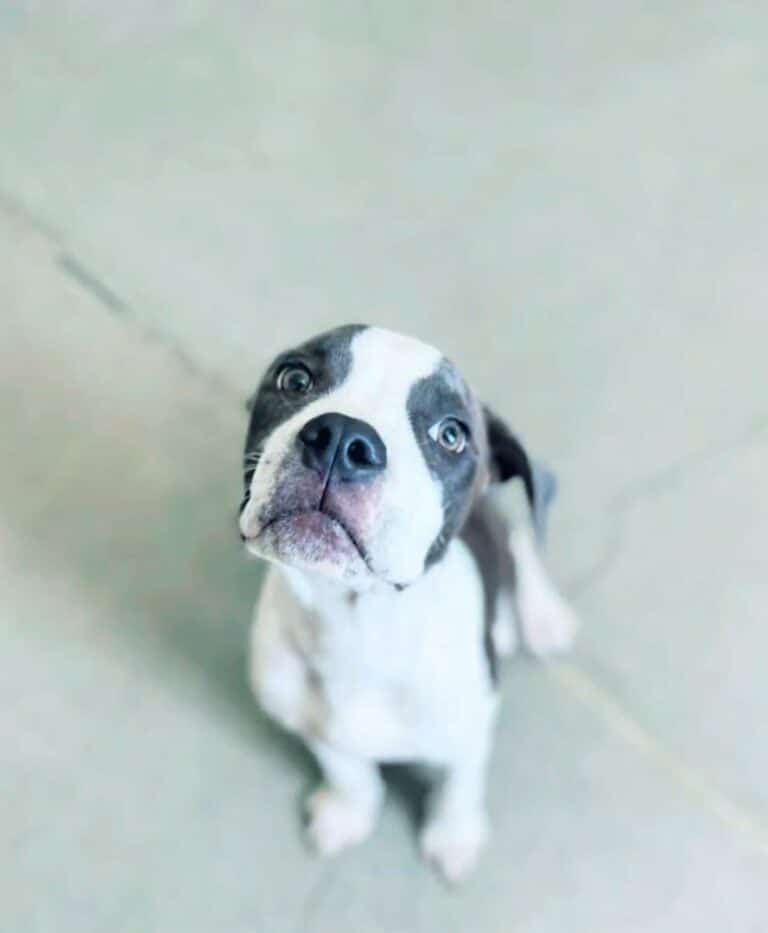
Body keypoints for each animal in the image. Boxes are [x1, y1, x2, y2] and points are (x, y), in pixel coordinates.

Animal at [240, 326, 576, 880]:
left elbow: (459, 787)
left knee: (520, 541)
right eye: (294, 379)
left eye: (451, 435)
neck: (356, 624)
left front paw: (454, 837)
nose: (341, 438)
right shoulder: (312, 722)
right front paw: (348, 813)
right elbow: (350, 772)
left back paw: (543, 618)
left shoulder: (469, 733)